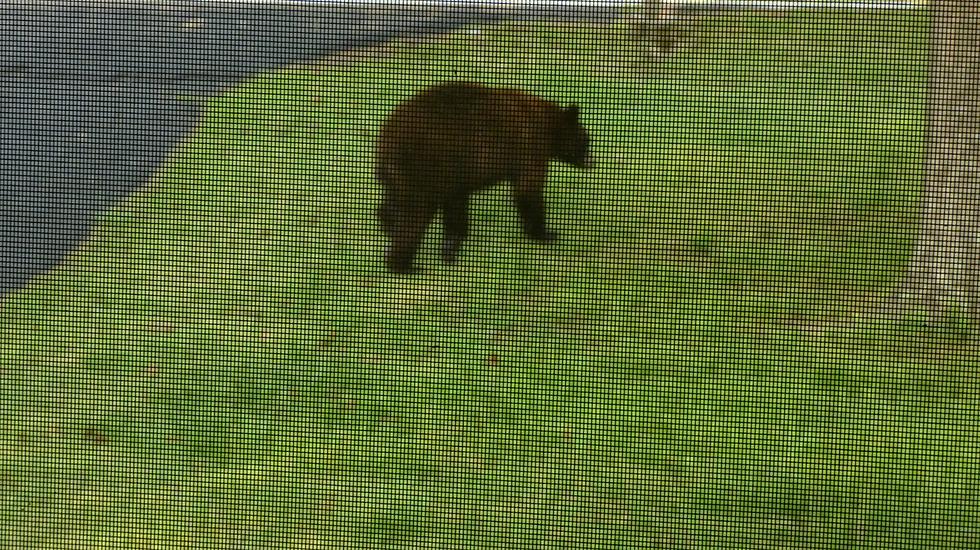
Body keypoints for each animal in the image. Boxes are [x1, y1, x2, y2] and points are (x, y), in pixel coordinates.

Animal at [374, 81, 588, 274]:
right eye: (586, 142)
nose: (591, 161)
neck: (549, 124)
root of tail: (385, 141)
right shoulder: (531, 146)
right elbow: (527, 189)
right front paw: (545, 233)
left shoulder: (457, 170)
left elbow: (456, 203)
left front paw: (451, 244)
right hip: (421, 166)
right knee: (416, 212)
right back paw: (404, 265)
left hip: (401, 175)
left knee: (393, 204)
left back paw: (388, 225)